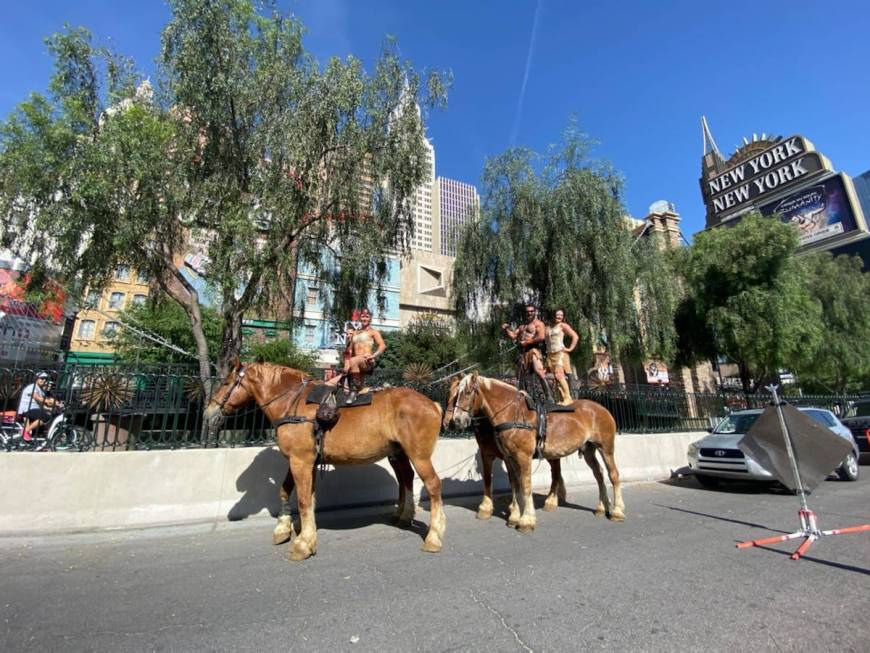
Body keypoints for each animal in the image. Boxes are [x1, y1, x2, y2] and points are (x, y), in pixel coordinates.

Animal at [207, 360, 446, 556]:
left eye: (227, 382)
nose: (208, 413)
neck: (292, 402)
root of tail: (432, 404)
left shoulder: (300, 460)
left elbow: (303, 500)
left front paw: (303, 544)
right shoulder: (302, 460)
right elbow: (289, 491)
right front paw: (285, 528)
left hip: (419, 455)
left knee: (433, 484)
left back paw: (434, 536)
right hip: (397, 453)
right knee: (406, 478)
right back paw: (403, 516)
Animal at [446, 372, 624, 528]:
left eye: (467, 392)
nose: (456, 420)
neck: (513, 413)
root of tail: (602, 408)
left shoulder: (523, 457)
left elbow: (525, 485)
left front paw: (526, 519)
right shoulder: (509, 458)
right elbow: (515, 485)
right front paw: (514, 516)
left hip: (606, 447)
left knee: (613, 474)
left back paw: (617, 511)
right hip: (589, 450)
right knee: (599, 474)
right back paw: (601, 507)